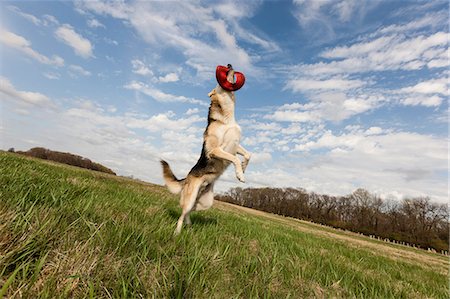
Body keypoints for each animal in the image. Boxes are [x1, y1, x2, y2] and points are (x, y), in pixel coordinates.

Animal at [160, 64, 250, 236]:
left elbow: (248, 155)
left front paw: (243, 168)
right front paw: (239, 175)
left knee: (189, 212)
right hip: (190, 198)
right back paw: (177, 233)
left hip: (206, 203)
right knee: (182, 213)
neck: (227, 117)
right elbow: (234, 158)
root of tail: (187, 178)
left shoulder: (235, 146)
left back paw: (189, 226)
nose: (229, 65)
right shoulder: (216, 150)